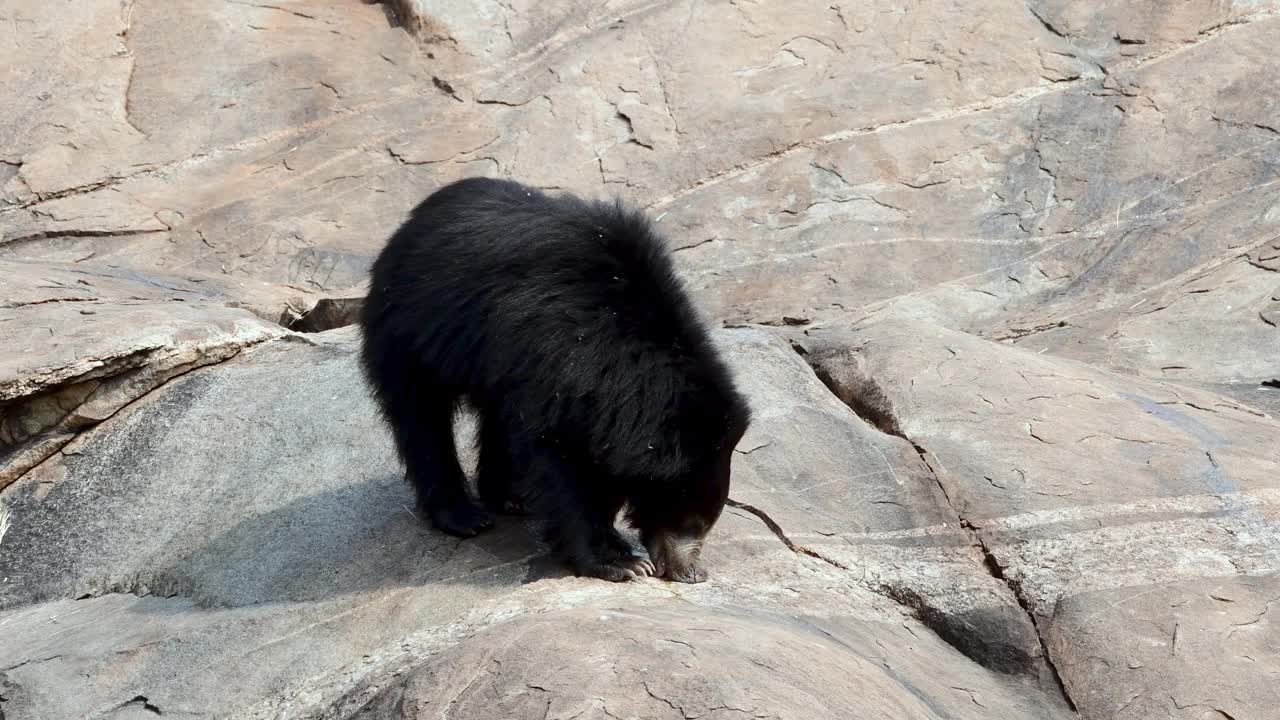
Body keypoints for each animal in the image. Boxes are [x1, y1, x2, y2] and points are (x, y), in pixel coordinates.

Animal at [358, 176, 747, 579]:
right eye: (689, 520)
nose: (692, 572)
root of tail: (408, 226)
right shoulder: (559, 354)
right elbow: (558, 459)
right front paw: (621, 562)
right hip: (414, 330)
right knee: (422, 417)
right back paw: (464, 516)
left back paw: (510, 498)